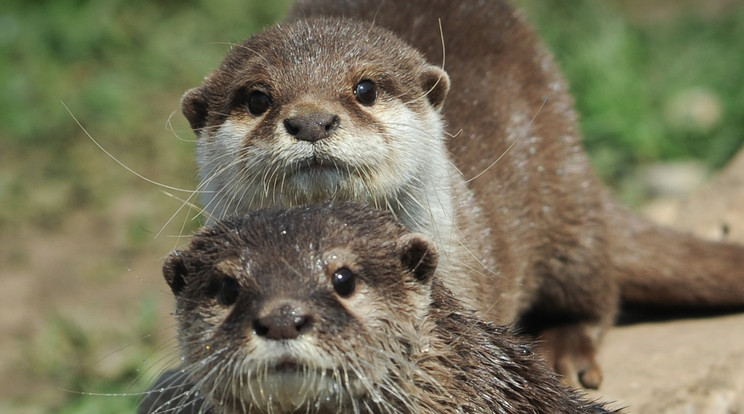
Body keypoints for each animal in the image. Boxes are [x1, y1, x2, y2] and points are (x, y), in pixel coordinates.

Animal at [177, 0, 744, 388]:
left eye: (365, 89)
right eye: (257, 98)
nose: (311, 120)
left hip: (563, 190)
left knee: (592, 285)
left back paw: (565, 350)